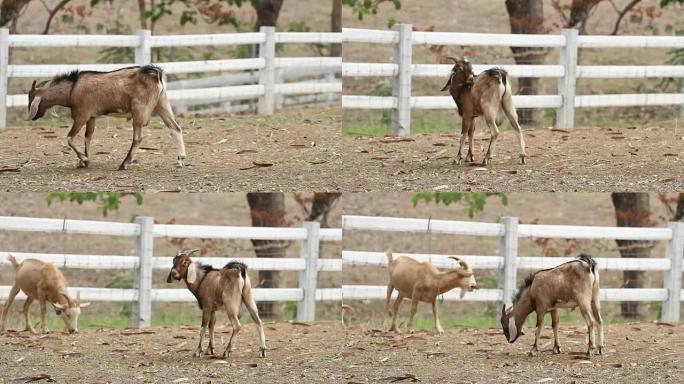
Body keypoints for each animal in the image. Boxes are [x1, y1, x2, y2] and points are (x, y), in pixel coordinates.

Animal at [28, 65, 187, 170]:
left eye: (31, 97)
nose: (32, 117)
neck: (72, 89)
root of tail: (155, 73)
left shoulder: (81, 116)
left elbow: (69, 138)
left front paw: (84, 159)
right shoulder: (91, 117)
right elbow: (88, 137)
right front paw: (83, 161)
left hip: (139, 111)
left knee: (138, 138)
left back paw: (124, 164)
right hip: (162, 104)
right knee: (176, 128)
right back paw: (180, 160)